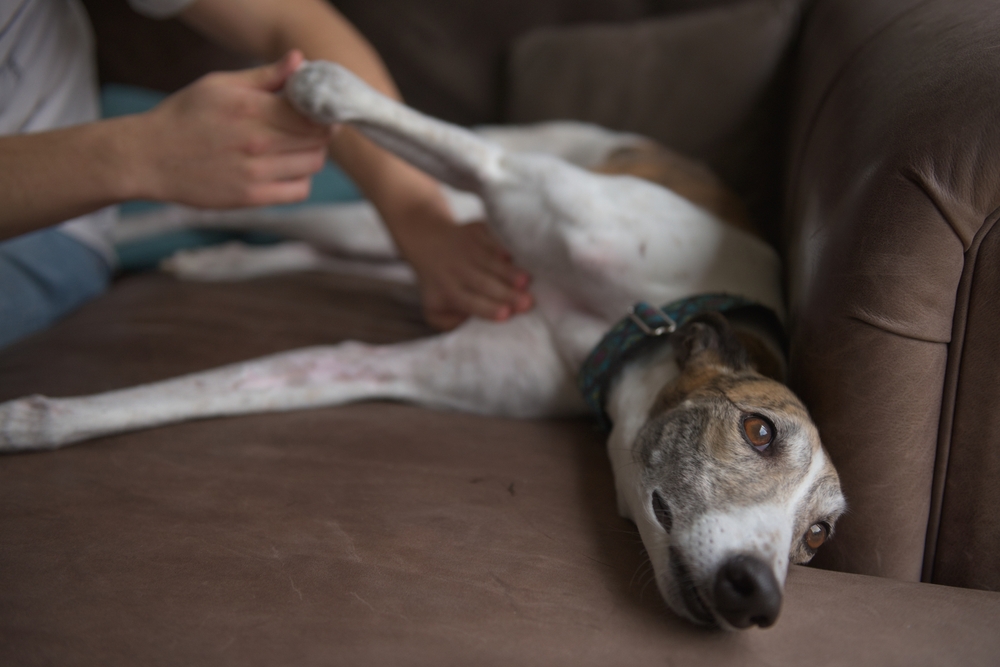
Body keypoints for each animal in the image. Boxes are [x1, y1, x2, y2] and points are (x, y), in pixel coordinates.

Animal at [0, 62, 844, 632]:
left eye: (819, 536)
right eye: (759, 431)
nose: (758, 595)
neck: (642, 320)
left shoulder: (382, 364)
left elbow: (234, 383)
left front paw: (35, 418)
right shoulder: (512, 179)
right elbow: (434, 136)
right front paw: (321, 86)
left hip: (428, 240)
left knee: (339, 250)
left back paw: (219, 263)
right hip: (446, 200)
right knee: (232, 205)